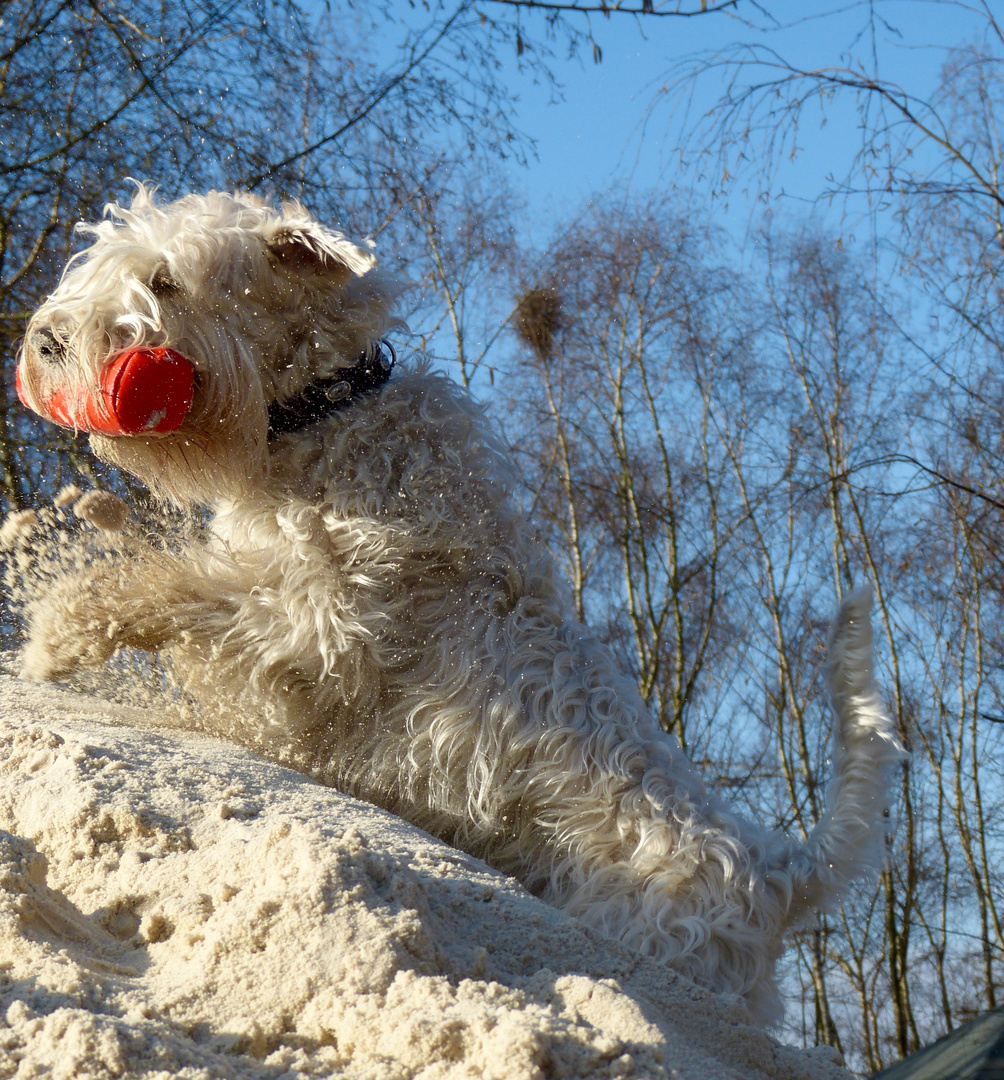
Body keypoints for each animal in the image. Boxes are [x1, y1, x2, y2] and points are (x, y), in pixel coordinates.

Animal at [13, 187, 898, 1028]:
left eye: (164, 280)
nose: (48, 340)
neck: (328, 411)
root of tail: (774, 874)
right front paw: (69, 526)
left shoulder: (311, 627)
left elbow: (170, 586)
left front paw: (57, 628)